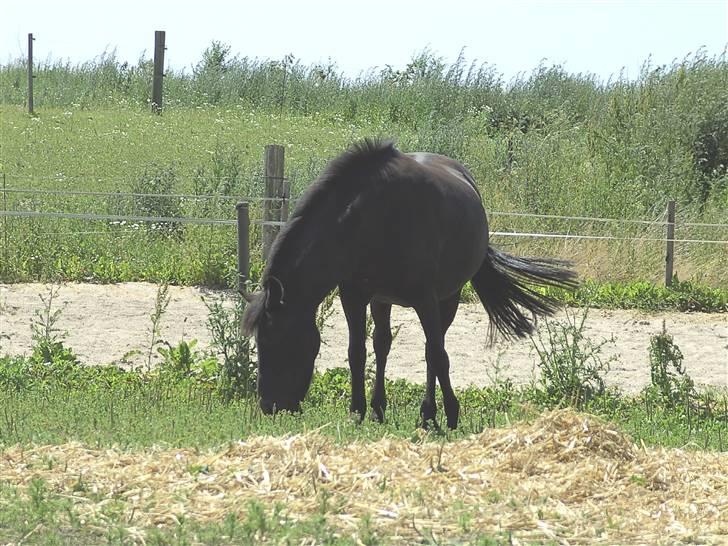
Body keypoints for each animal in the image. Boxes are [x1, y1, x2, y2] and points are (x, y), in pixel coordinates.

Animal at [242, 138, 576, 428]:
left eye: (276, 339)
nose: (269, 405)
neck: (369, 220)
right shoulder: (354, 296)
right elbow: (356, 352)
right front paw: (357, 412)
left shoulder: (426, 299)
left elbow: (437, 356)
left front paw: (448, 413)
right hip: (382, 300)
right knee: (383, 345)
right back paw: (378, 408)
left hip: (448, 299)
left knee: (432, 350)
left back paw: (428, 413)